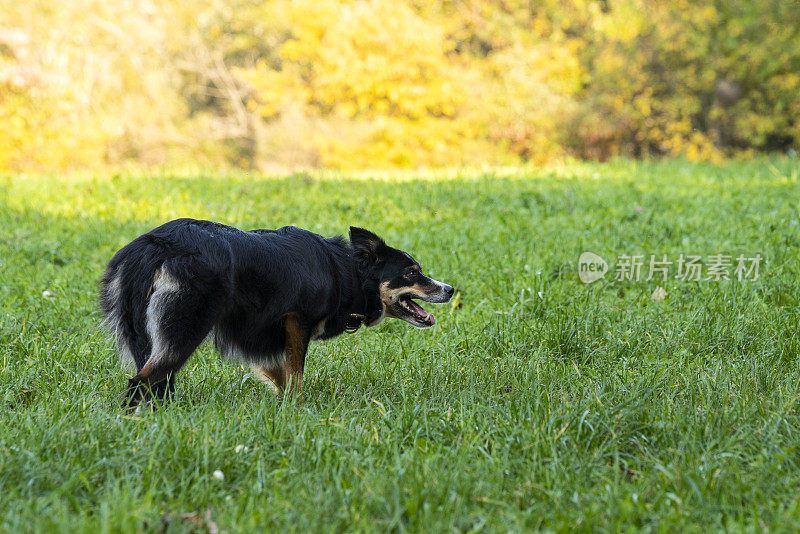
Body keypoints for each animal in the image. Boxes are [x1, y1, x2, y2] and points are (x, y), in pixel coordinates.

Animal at [100, 219, 454, 410]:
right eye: (411, 273)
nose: (450, 289)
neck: (346, 270)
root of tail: (155, 245)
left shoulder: (253, 333)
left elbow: (279, 373)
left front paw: (284, 405)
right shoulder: (297, 320)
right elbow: (295, 372)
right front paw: (297, 408)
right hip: (185, 327)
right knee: (140, 381)